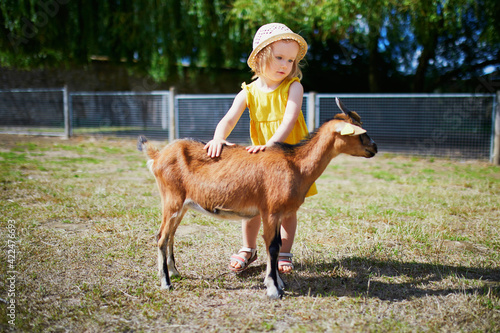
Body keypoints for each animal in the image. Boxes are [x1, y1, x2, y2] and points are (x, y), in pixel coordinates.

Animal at [137, 97, 376, 296]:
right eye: (359, 132)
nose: (374, 147)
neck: (296, 164)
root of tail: (157, 156)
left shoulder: (278, 213)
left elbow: (277, 244)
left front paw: (279, 283)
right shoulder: (270, 210)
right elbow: (272, 246)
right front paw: (273, 289)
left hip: (182, 204)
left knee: (170, 235)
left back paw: (175, 272)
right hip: (172, 199)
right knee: (161, 236)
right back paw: (166, 283)